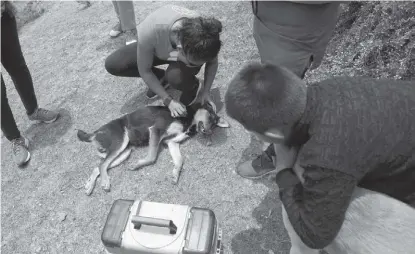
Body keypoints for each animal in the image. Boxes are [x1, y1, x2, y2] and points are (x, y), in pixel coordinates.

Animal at [76, 102, 229, 195]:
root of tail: (95, 132)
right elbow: (152, 156)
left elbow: (180, 161)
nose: (209, 132)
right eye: (210, 116)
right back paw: (105, 182)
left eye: (214, 124)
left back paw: (90, 186)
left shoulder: (171, 142)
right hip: (120, 143)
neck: (189, 120)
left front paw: (175, 174)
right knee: (102, 165)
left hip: (124, 152)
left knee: (100, 166)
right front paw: (138, 165)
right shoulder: (156, 131)